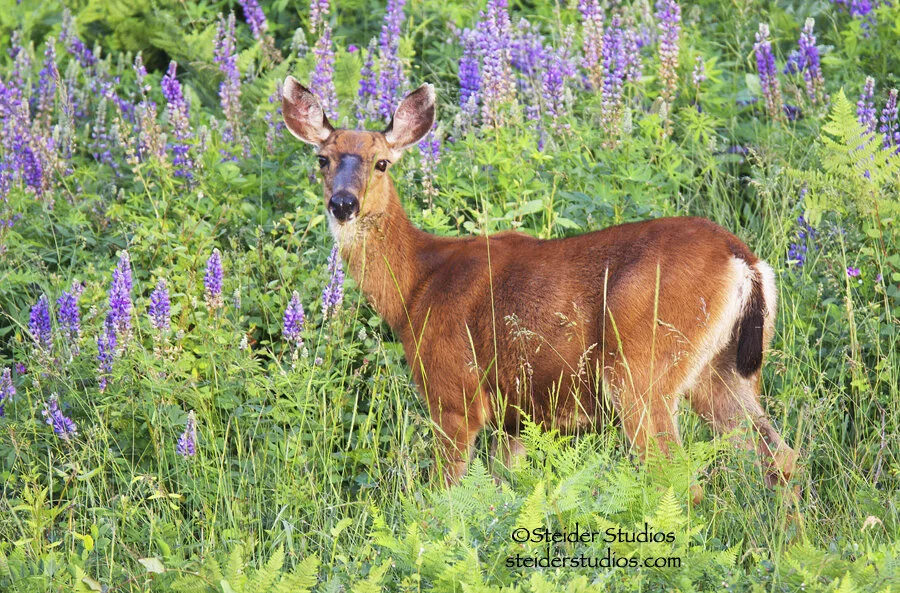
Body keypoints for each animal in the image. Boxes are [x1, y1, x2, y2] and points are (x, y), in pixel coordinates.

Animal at [282, 76, 798, 501]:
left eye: (382, 163)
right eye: (322, 159)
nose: (343, 203)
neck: (416, 287)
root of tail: (744, 260)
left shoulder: (454, 394)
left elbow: (446, 495)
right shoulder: (515, 417)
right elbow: (501, 492)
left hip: (640, 368)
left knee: (679, 476)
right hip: (724, 371)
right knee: (779, 458)